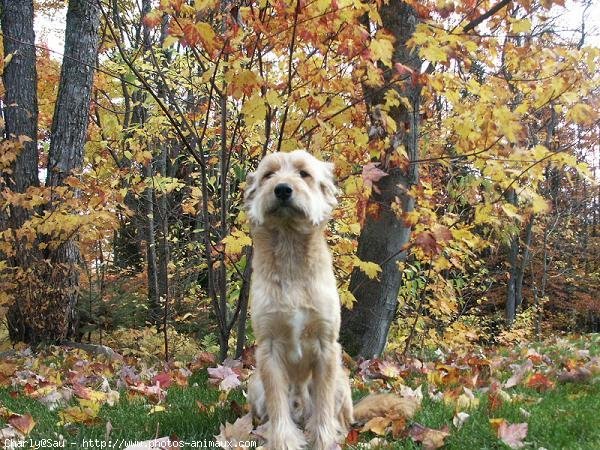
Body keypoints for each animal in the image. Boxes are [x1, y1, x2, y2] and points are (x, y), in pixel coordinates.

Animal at [246, 152, 354, 450]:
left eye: (304, 173)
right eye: (268, 175)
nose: (282, 189)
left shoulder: (327, 346)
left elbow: (323, 405)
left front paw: (323, 440)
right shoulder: (268, 348)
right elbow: (277, 403)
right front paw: (283, 441)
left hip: (342, 382)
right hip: (253, 383)